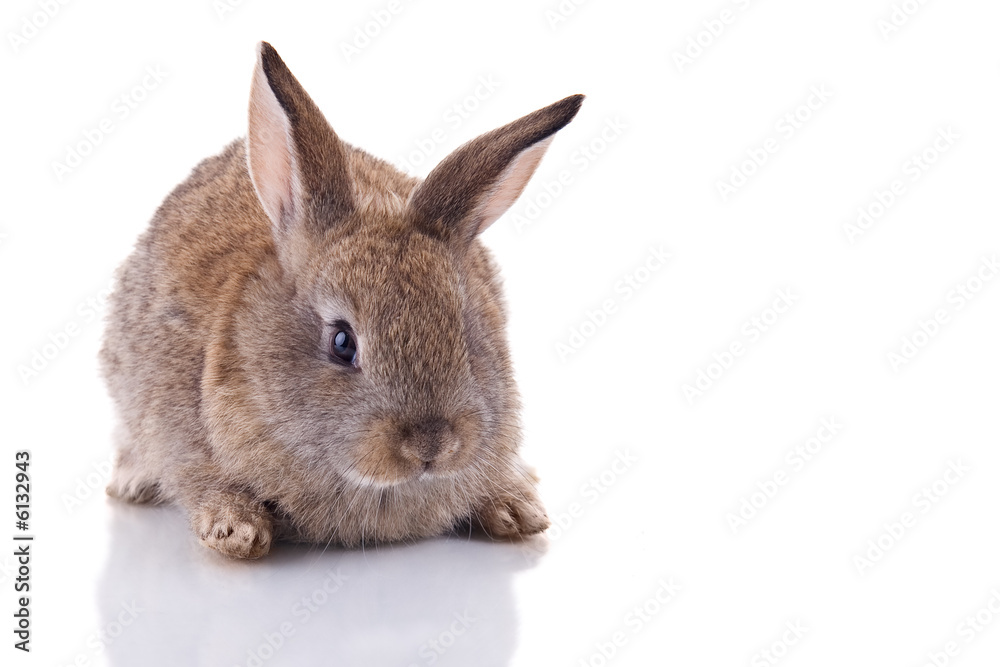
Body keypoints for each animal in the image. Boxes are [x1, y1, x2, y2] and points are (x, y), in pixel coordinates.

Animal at [99, 41, 583, 559]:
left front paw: (518, 510)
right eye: (342, 343)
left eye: (467, 338)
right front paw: (238, 532)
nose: (431, 446)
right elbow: (206, 483)